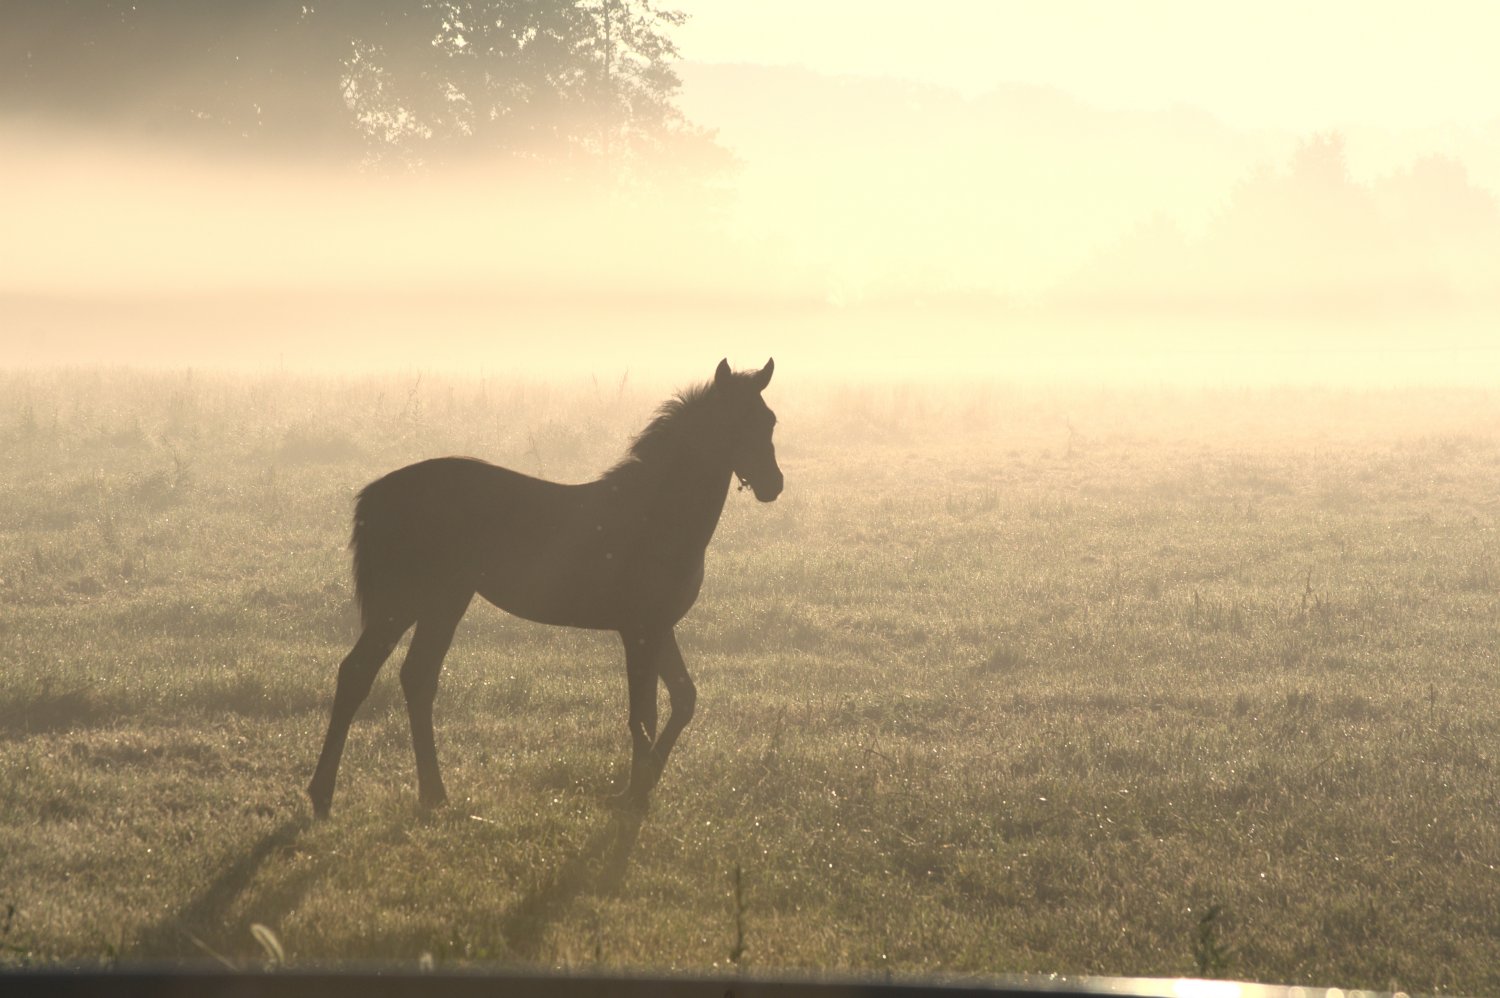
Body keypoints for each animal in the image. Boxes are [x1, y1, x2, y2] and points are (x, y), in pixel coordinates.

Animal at [307, 358, 782, 818]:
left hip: (445, 601)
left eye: (770, 420)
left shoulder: (659, 627)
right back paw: (324, 793)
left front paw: (644, 785)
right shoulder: (639, 631)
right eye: (735, 422)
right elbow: (643, 714)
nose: (773, 484)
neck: (655, 512)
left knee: (416, 677)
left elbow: (684, 698)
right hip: (406, 601)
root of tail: (378, 492)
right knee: (359, 672)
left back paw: (432, 794)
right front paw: (632, 795)